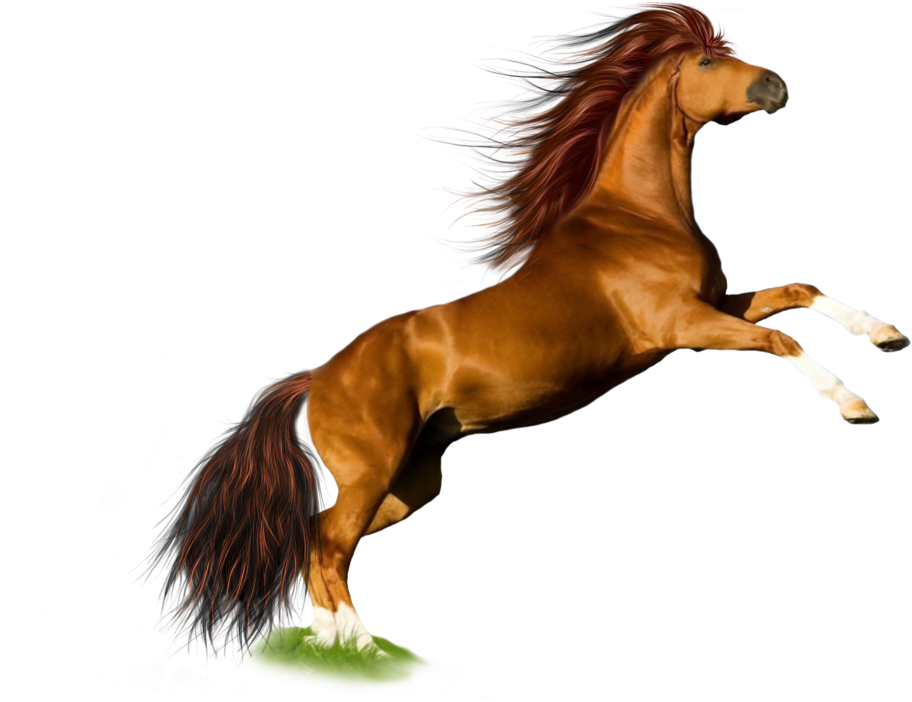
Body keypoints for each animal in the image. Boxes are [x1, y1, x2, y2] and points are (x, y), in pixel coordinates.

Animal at [146, 2, 908, 687]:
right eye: (706, 62)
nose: (778, 86)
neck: (637, 219)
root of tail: (314, 378)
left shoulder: (716, 305)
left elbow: (800, 290)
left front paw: (887, 335)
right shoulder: (681, 327)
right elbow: (780, 336)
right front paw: (855, 405)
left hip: (413, 481)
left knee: (317, 541)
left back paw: (334, 647)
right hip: (371, 471)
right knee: (330, 545)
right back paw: (368, 656)